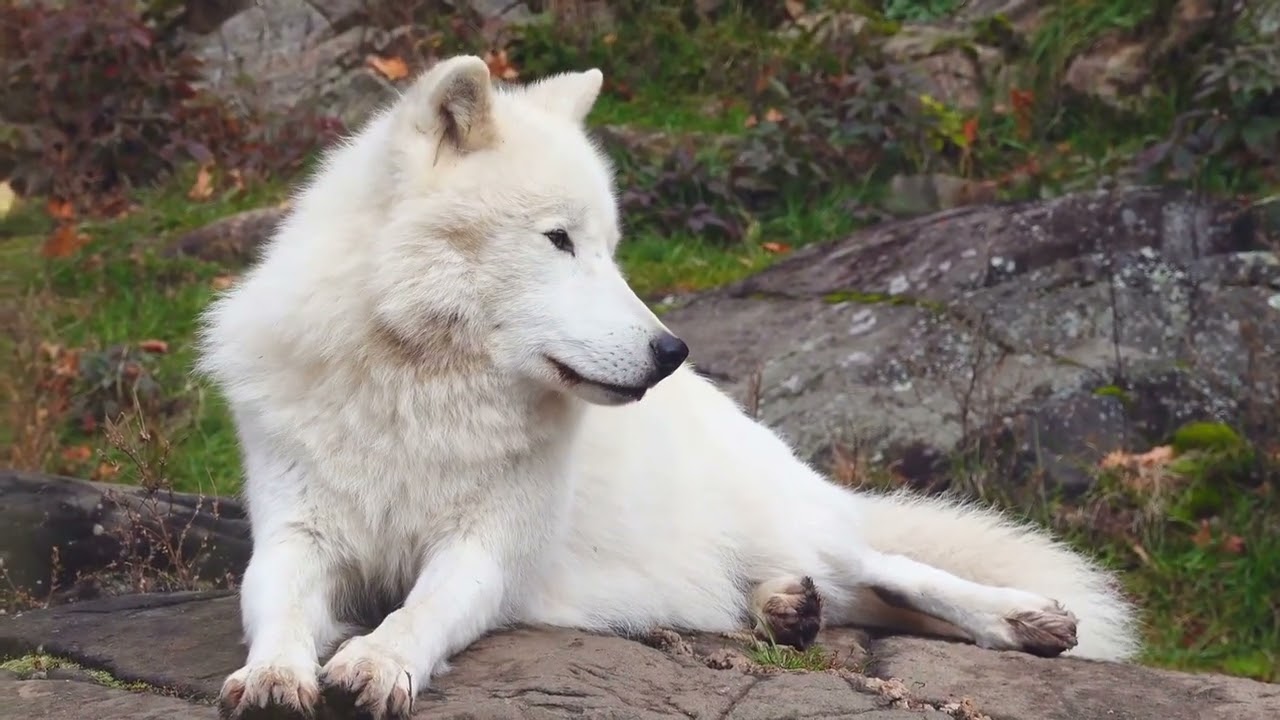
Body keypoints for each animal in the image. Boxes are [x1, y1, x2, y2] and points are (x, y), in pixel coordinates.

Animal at [197, 55, 1141, 719]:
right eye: (559, 240)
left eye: (611, 246)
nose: (670, 350)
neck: (421, 391)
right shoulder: (294, 534)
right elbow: (274, 605)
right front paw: (274, 674)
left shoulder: (487, 552)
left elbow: (421, 610)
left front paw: (378, 661)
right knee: (842, 595)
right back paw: (784, 608)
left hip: (794, 519)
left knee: (891, 565)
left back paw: (1026, 620)